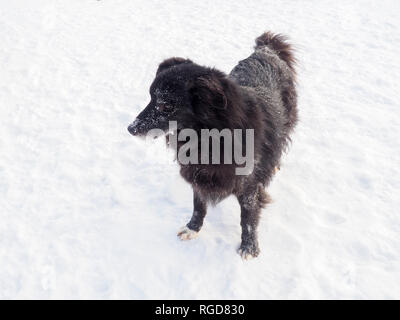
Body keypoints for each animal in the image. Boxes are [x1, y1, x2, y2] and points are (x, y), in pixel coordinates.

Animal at [128, 31, 296, 258]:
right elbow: (198, 205)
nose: (130, 128)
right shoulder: (198, 174)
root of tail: (266, 50)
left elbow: (248, 219)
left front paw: (249, 247)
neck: (209, 139)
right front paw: (192, 228)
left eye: (165, 106)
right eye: (150, 98)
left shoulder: (248, 187)